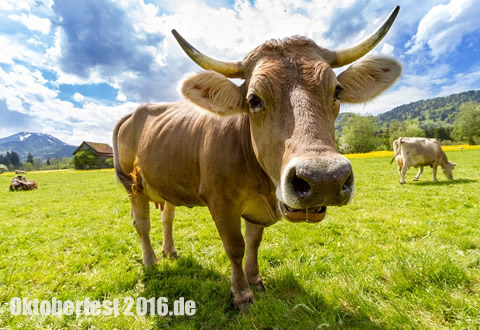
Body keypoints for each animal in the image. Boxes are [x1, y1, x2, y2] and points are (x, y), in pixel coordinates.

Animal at [115, 7, 402, 312]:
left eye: (336, 90)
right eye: (254, 99)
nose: (324, 179)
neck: (263, 185)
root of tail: (137, 111)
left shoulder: (256, 210)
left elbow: (254, 243)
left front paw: (255, 280)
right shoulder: (220, 202)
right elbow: (235, 247)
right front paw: (242, 294)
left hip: (165, 181)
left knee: (166, 216)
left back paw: (170, 251)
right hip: (133, 185)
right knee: (141, 223)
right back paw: (151, 261)